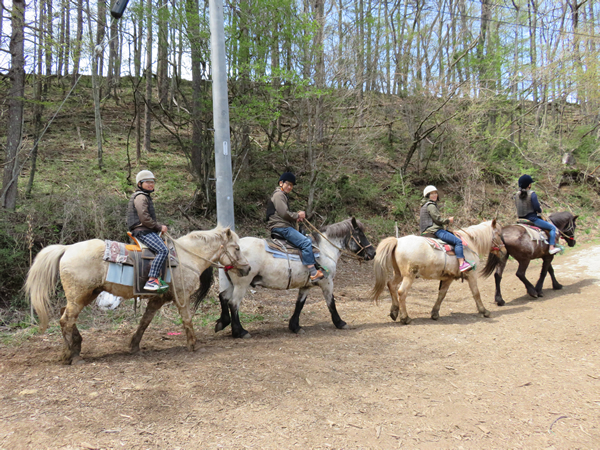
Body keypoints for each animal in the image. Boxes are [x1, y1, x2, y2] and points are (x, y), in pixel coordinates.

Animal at [24, 227, 250, 364]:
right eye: (237, 248)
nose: (247, 268)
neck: (185, 257)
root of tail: (67, 248)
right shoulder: (182, 297)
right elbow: (187, 320)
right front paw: (193, 345)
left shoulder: (158, 299)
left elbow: (145, 321)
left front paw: (134, 345)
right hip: (79, 296)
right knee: (66, 320)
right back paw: (72, 355)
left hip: (84, 295)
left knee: (66, 316)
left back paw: (74, 348)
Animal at [370, 219, 506, 322]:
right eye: (499, 235)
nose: (504, 251)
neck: (470, 242)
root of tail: (397, 241)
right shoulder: (472, 275)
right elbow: (476, 293)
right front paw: (484, 311)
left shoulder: (448, 278)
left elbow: (441, 294)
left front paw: (435, 313)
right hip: (409, 276)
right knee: (401, 292)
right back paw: (405, 318)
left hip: (398, 274)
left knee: (391, 285)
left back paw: (394, 311)